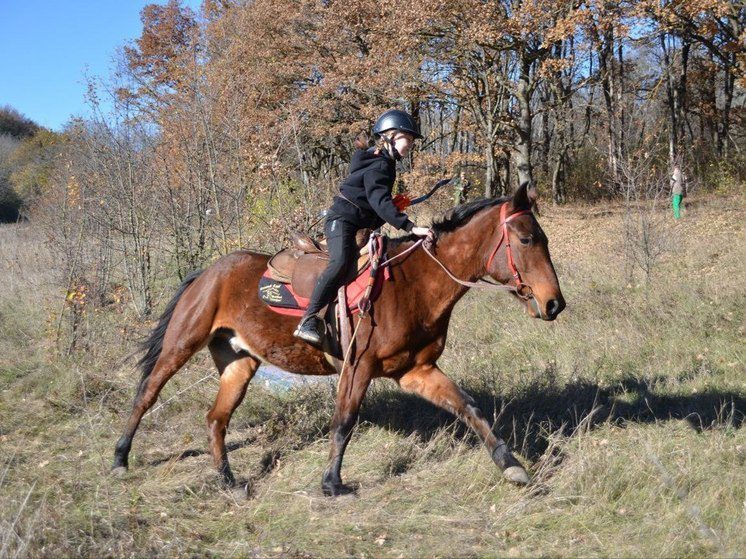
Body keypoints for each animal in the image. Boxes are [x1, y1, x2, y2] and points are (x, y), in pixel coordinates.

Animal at [112, 186, 564, 496]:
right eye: (527, 239)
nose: (554, 303)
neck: (416, 283)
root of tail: (206, 273)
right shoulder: (357, 367)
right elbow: (344, 421)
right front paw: (332, 483)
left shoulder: (416, 370)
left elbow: (469, 408)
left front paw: (511, 465)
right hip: (181, 345)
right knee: (147, 394)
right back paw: (119, 458)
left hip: (239, 362)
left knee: (216, 419)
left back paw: (228, 480)